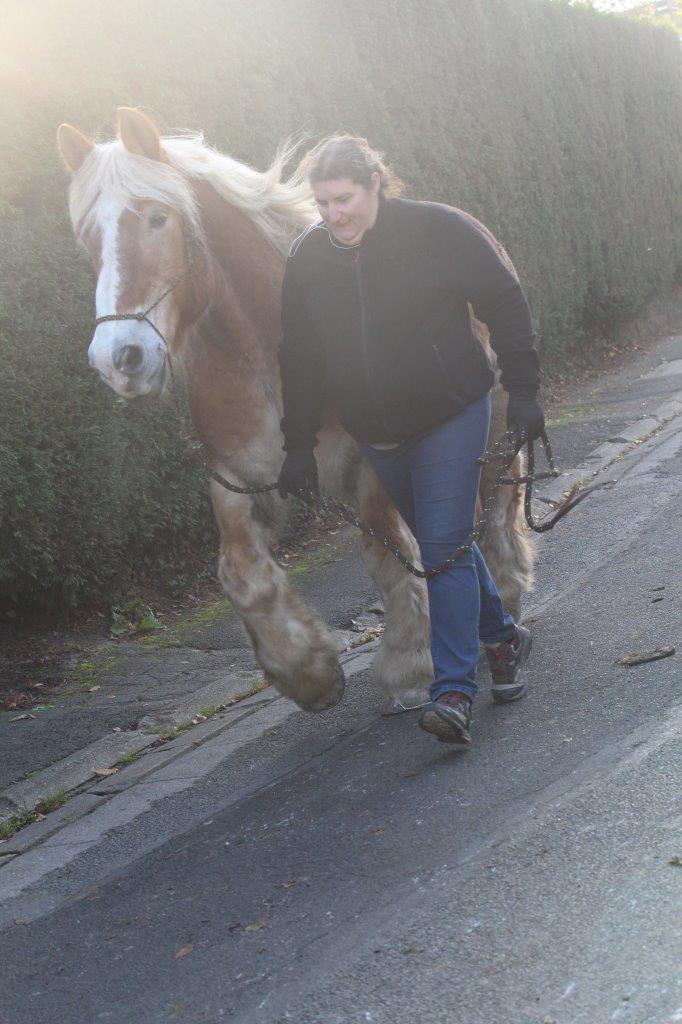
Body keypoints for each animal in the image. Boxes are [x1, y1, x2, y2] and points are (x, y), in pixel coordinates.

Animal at [57, 105, 532, 712]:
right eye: (89, 238)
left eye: (158, 219)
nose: (119, 359)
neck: (262, 353)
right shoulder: (241, 477)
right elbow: (241, 574)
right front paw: (307, 671)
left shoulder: (373, 461)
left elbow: (388, 551)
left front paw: (410, 662)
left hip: (492, 431)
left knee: (492, 510)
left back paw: (508, 601)